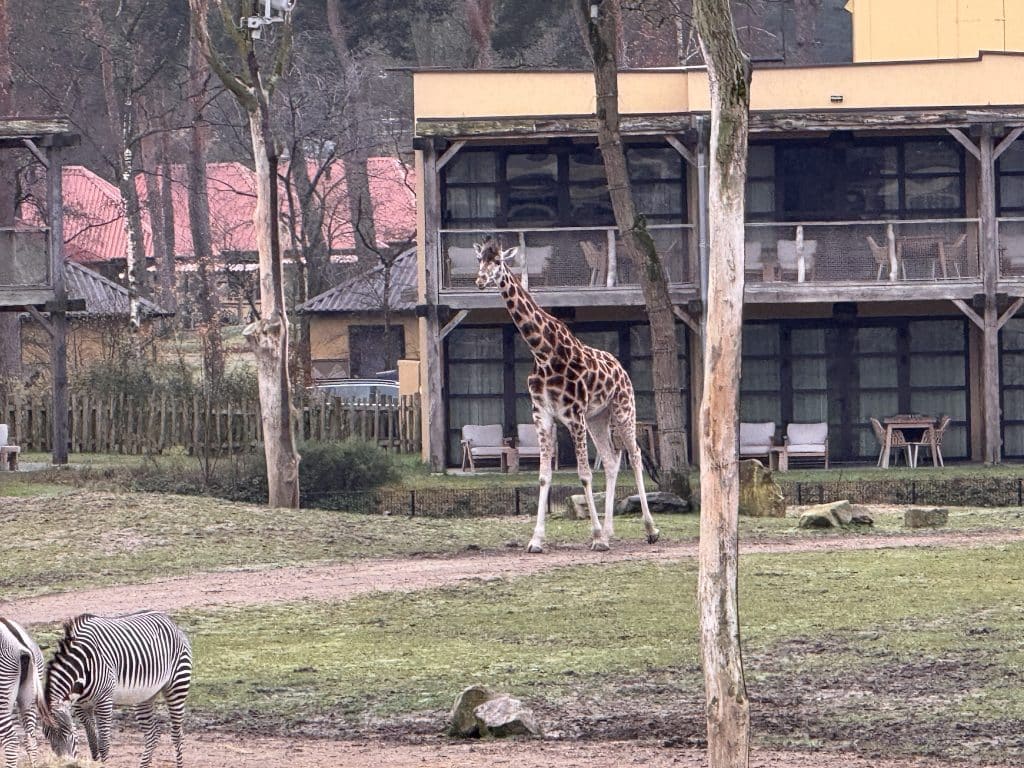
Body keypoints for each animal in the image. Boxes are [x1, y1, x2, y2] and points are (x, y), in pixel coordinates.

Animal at [473, 237, 659, 553]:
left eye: (498, 262)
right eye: (480, 261)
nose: (480, 280)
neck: (543, 352)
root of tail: (621, 369)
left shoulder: (574, 416)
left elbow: (584, 474)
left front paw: (595, 537)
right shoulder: (543, 415)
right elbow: (543, 476)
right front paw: (536, 540)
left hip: (624, 409)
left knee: (634, 455)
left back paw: (649, 529)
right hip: (598, 418)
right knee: (611, 460)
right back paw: (609, 531)